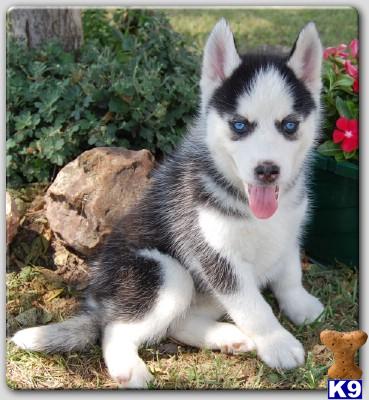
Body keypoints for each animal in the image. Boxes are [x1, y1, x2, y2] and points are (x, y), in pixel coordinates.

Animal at [11, 18, 324, 388]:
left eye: (289, 125)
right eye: (239, 125)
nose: (267, 170)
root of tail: (99, 296)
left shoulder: (288, 231)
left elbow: (288, 273)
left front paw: (300, 304)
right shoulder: (216, 256)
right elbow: (254, 306)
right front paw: (277, 343)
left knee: (177, 325)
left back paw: (228, 337)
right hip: (166, 273)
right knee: (114, 329)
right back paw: (129, 368)